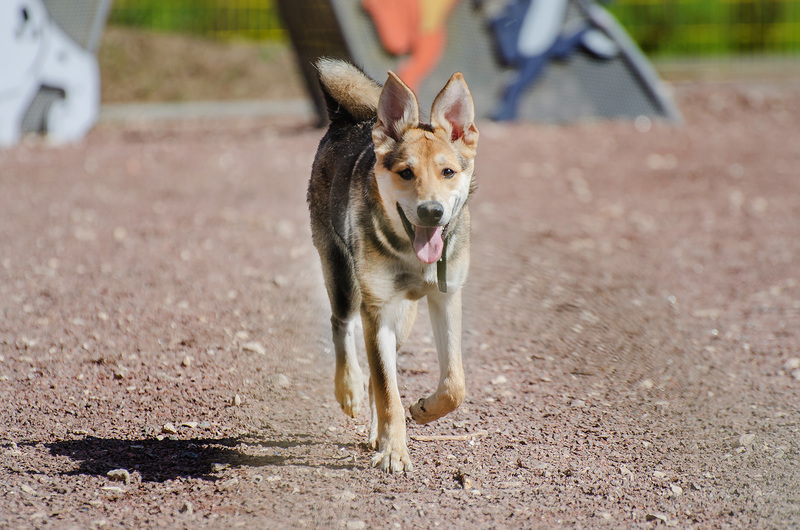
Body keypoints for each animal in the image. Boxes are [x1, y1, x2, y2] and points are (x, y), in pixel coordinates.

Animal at [308, 59, 478, 472]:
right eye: (405, 172)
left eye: (448, 172)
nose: (431, 211)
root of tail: (346, 120)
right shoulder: (377, 310)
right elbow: (389, 393)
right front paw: (395, 452)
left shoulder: (445, 298)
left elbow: (454, 384)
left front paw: (423, 410)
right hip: (342, 277)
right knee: (342, 327)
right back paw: (349, 389)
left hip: (405, 318)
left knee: (376, 374)